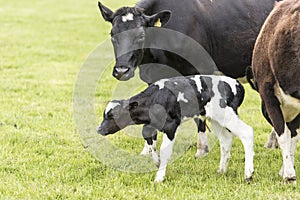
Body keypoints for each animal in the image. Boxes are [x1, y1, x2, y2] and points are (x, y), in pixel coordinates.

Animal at [97, 75, 254, 183]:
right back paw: (222, 170)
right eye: (105, 114)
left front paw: (159, 177)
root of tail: (236, 84)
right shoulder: (152, 124)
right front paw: (156, 162)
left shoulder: (171, 125)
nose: (99, 129)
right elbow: (148, 138)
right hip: (216, 118)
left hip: (227, 114)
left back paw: (248, 174)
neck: (156, 98)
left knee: (247, 132)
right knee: (226, 139)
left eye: (115, 115)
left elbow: (165, 151)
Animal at [98, 0, 276, 156]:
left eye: (141, 36)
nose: (121, 70)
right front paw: (147, 151)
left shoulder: (200, 72)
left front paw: (202, 149)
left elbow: (200, 115)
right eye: (112, 35)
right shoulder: (152, 78)